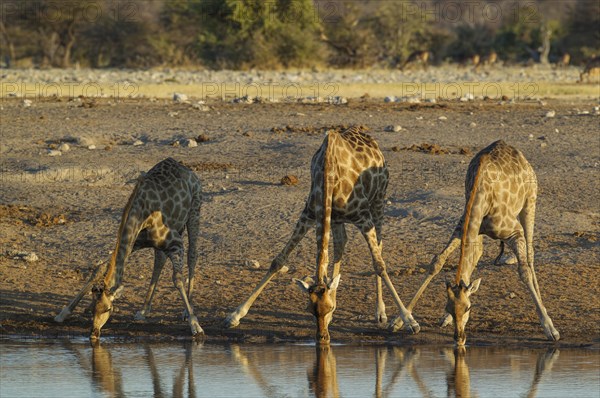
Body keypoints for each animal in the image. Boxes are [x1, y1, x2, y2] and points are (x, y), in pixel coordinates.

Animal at [54, 157, 204, 340]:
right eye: (91, 309)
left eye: (108, 309)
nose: (94, 333)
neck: (141, 215)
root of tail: (187, 170)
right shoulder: (136, 241)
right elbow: (100, 267)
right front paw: (63, 313)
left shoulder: (175, 243)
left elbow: (177, 279)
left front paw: (195, 325)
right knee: (159, 259)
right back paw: (144, 310)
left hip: (195, 210)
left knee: (193, 254)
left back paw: (185, 310)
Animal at [223, 126, 420, 344]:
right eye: (309, 310)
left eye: (329, 308)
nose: (322, 337)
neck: (329, 174)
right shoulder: (310, 213)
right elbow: (278, 261)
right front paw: (235, 315)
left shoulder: (363, 217)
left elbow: (379, 265)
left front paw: (409, 321)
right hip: (336, 219)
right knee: (341, 243)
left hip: (378, 201)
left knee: (379, 246)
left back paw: (381, 312)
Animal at [392, 140, 560, 346]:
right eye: (449, 307)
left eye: (468, 308)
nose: (459, 339)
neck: (482, 196)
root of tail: (517, 153)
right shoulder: (463, 226)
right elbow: (437, 262)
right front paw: (400, 320)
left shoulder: (514, 232)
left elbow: (524, 271)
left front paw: (550, 328)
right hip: (477, 231)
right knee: (478, 252)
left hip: (530, 202)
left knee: (530, 255)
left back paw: (545, 313)